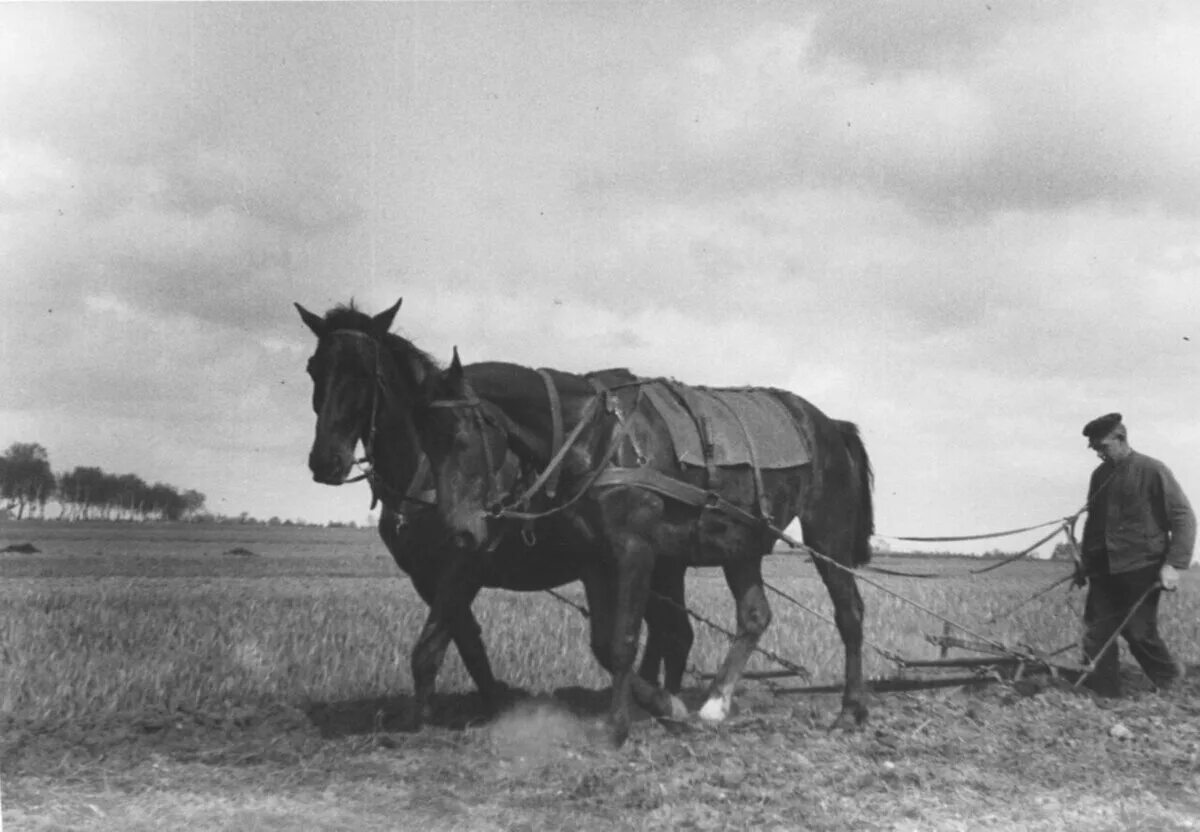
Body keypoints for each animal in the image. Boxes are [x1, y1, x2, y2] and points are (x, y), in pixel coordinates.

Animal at [295, 300, 696, 725]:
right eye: (314, 368)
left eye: (365, 372)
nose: (326, 461)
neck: (426, 472)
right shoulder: (424, 575)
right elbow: (465, 639)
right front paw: (494, 699)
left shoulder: (464, 565)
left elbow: (430, 648)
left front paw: (421, 718)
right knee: (669, 632)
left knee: (672, 633)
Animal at [427, 350, 878, 744]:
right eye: (427, 441)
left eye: (462, 438)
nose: (459, 531)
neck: (595, 433)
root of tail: (829, 424)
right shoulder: (595, 558)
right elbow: (604, 644)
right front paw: (667, 707)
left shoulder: (635, 550)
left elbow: (624, 639)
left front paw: (618, 727)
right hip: (740, 543)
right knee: (755, 617)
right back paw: (714, 705)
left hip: (827, 535)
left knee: (849, 614)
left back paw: (850, 711)